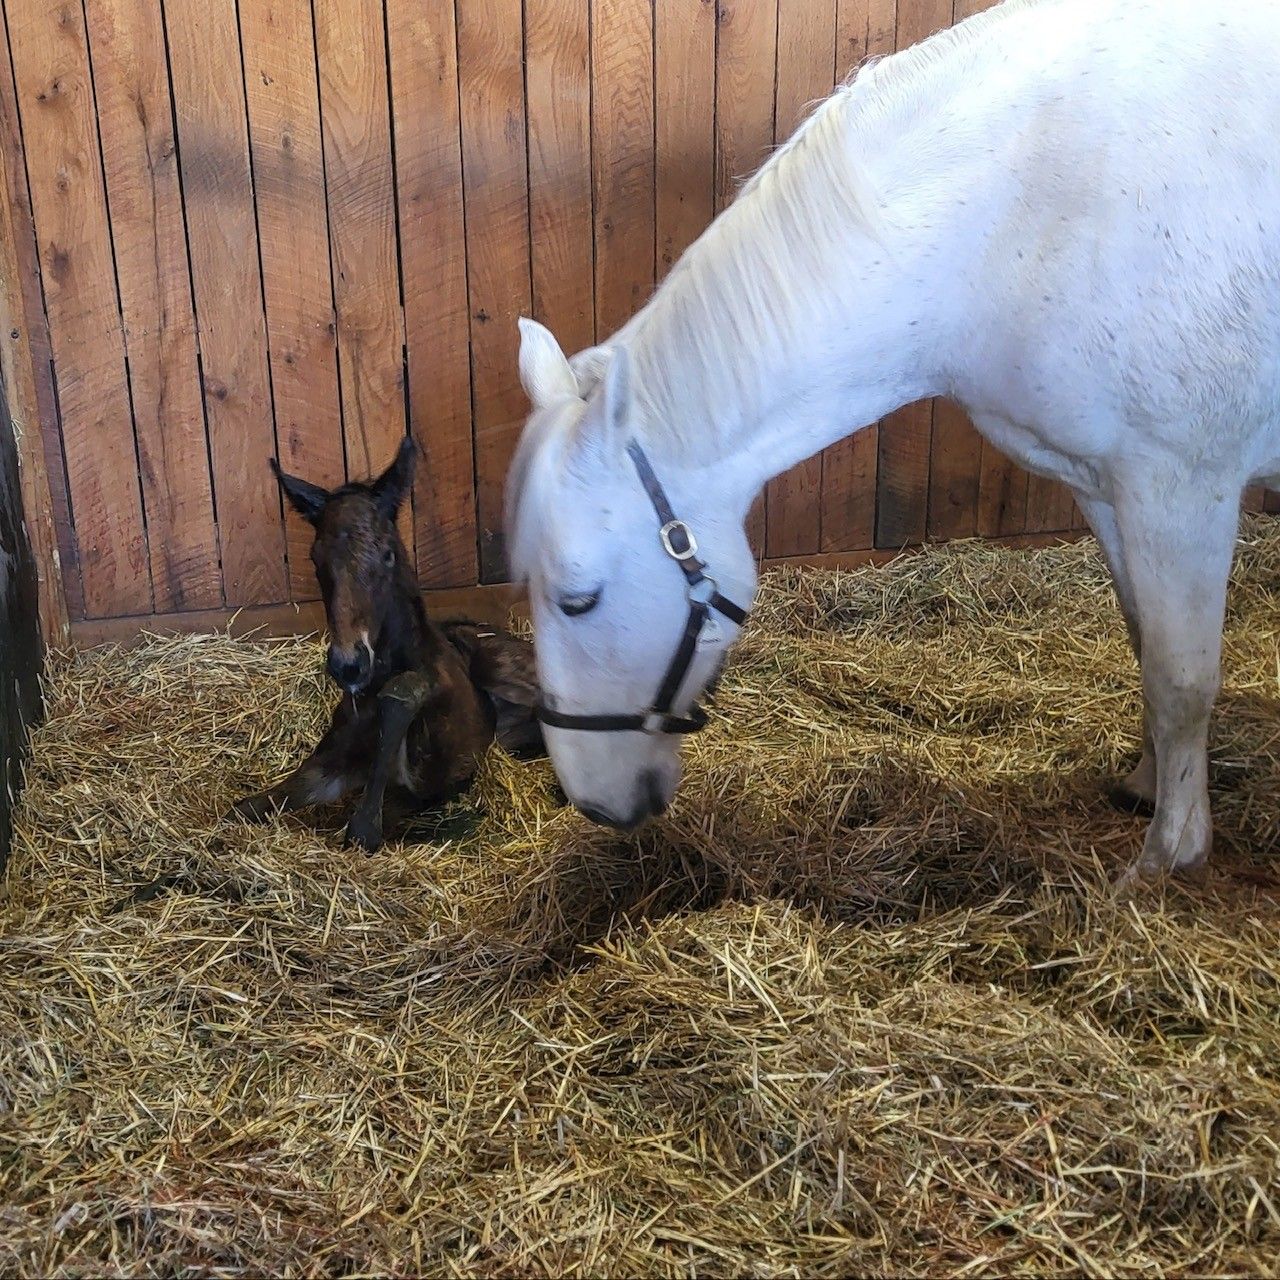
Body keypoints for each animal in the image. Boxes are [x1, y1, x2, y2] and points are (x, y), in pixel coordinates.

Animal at [228, 438, 544, 852]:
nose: (349, 665)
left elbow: (362, 828)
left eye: (388, 554)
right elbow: (243, 809)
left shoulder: (429, 787)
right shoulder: (325, 767)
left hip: (503, 668)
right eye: (315, 559)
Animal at [505, 0, 1280, 890]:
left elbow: (1183, 677)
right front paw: (1148, 784)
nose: (591, 803)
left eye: (578, 599)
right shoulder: (1107, 486)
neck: (1029, 205)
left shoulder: (1182, 486)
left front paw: (1168, 857)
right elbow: (1143, 639)